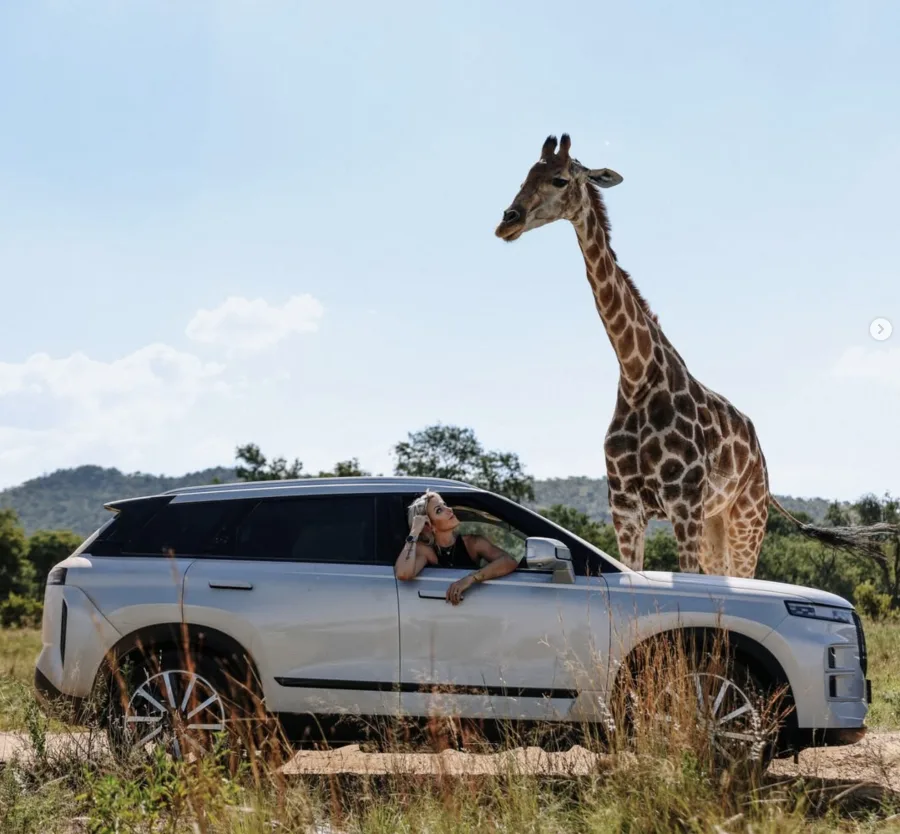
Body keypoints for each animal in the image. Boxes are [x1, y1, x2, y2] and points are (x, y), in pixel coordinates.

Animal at [492, 135, 816, 580]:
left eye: (559, 179)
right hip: (716, 522)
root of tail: (760, 453)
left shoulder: (684, 504)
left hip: (746, 518)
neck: (636, 374)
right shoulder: (626, 508)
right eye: (525, 175)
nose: (508, 221)